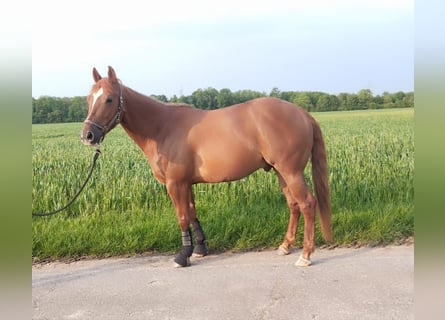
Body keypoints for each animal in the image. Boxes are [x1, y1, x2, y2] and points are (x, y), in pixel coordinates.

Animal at [80, 66, 332, 266]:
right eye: (89, 99)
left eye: (109, 99)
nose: (88, 135)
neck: (162, 127)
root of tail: (301, 113)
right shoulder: (186, 183)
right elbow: (192, 213)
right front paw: (199, 249)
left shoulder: (175, 183)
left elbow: (182, 216)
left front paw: (182, 256)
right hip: (281, 172)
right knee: (294, 205)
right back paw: (285, 246)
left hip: (291, 171)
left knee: (307, 204)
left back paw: (305, 255)